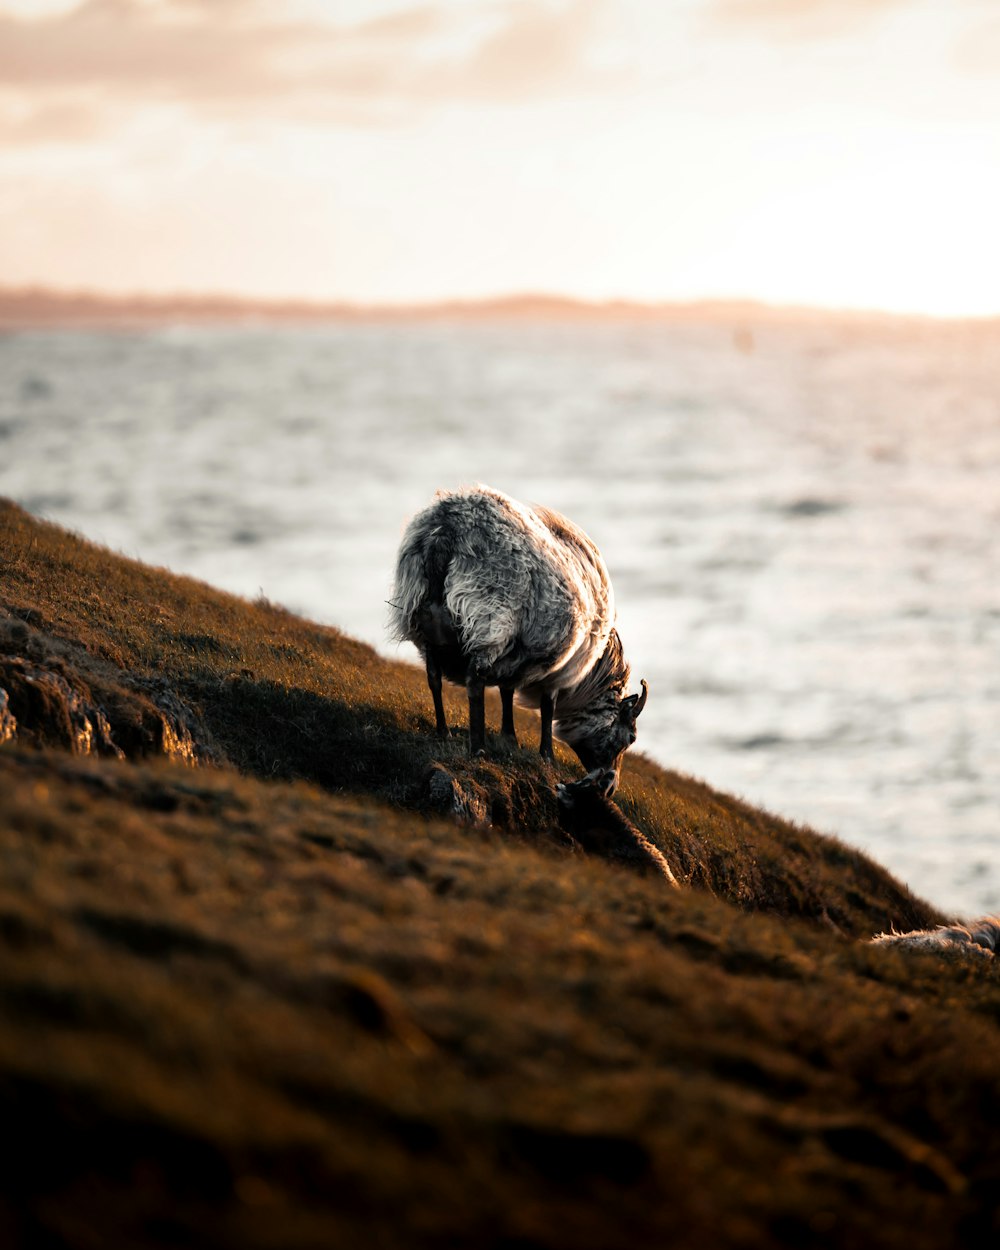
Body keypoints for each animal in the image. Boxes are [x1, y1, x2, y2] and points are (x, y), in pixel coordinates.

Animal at [387, 482, 645, 785]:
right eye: (631, 737)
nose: (609, 786)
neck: (589, 676)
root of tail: (445, 530)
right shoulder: (555, 671)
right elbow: (547, 708)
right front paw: (546, 755)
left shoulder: (516, 656)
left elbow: (506, 691)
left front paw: (509, 736)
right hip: (489, 618)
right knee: (475, 682)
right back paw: (478, 749)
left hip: (423, 622)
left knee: (434, 679)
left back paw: (443, 731)